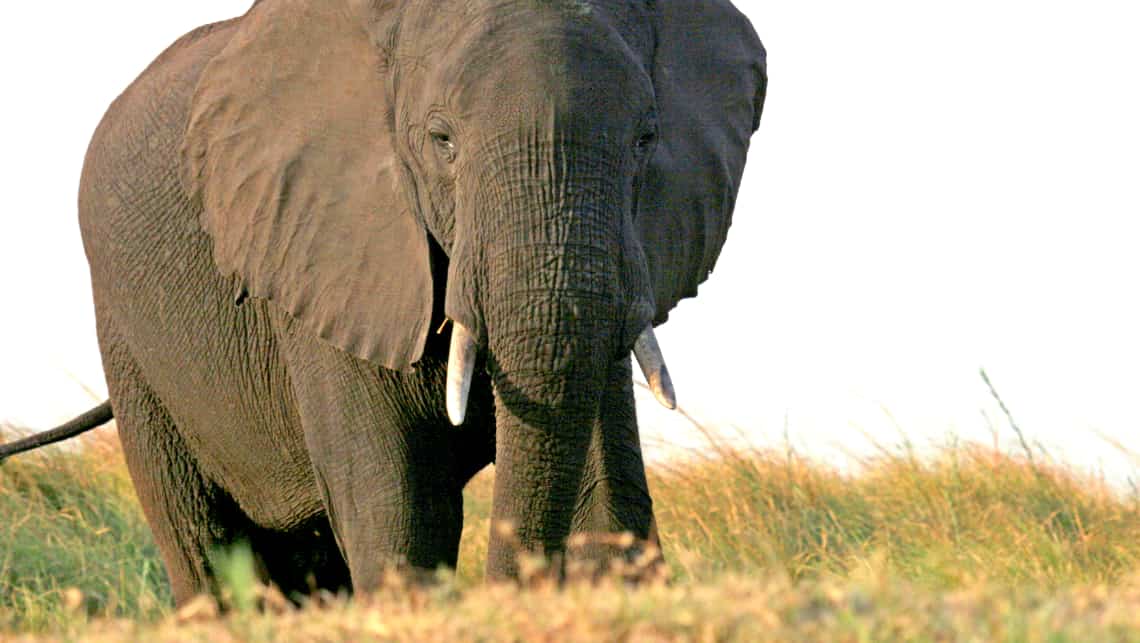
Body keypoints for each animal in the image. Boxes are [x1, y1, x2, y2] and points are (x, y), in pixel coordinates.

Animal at [2, 0, 766, 601]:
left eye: (645, 138)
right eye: (441, 140)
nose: (508, 588)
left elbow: (608, 494)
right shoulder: (320, 242)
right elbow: (400, 504)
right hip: (128, 338)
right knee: (202, 543)